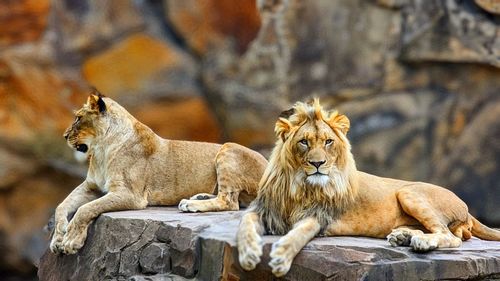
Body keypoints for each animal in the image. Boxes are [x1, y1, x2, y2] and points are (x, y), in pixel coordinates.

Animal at [51, 89, 268, 254]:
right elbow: (62, 206)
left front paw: (71, 240)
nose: (64, 136)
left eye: (78, 118)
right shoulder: (91, 185)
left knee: (230, 202)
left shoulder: (130, 195)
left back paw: (190, 204)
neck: (101, 149)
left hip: (229, 147)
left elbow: (85, 209)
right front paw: (58, 237)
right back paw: (198, 197)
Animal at [237, 98, 500, 276]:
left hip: (409, 191)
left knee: (450, 237)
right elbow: (245, 224)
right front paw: (248, 254)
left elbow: (298, 234)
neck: (299, 186)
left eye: (328, 142)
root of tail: (467, 209)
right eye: (304, 142)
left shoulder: (319, 217)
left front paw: (280, 258)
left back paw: (420, 242)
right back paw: (404, 237)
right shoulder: (262, 210)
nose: (318, 164)